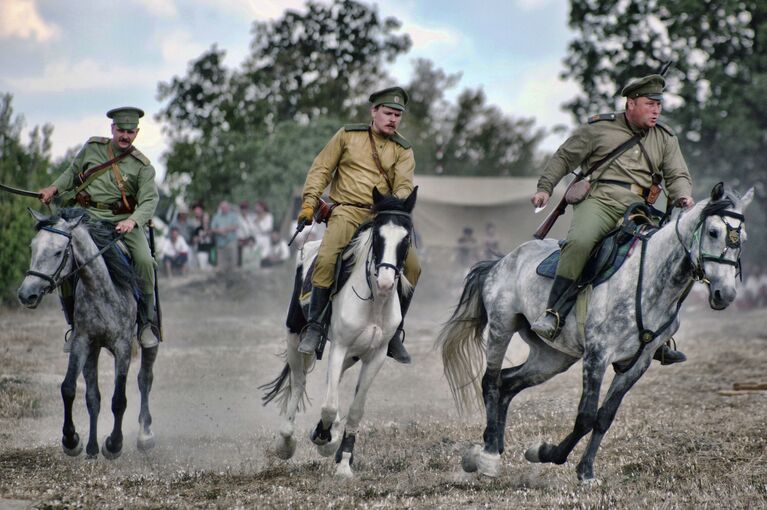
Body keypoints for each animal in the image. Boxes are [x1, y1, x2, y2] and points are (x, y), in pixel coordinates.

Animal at [17, 207, 158, 458]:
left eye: (58, 252)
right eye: (33, 247)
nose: (26, 294)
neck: (100, 289)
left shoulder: (122, 346)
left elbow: (119, 399)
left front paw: (114, 444)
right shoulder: (82, 343)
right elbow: (69, 388)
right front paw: (71, 439)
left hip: (147, 341)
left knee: (145, 379)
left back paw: (145, 434)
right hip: (93, 352)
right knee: (93, 397)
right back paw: (92, 447)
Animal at [264, 187, 420, 478]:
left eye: (405, 238)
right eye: (378, 236)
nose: (385, 282)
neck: (374, 302)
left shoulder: (375, 356)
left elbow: (355, 409)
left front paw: (344, 460)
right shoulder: (339, 346)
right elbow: (328, 405)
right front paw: (323, 438)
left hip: (353, 354)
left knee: (330, 381)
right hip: (295, 336)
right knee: (299, 382)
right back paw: (286, 442)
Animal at [438, 183, 756, 482]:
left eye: (743, 240)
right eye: (713, 231)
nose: (725, 294)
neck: (649, 280)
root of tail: (501, 261)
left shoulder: (636, 364)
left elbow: (604, 417)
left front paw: (585, 470)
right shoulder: (597, 355)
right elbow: (586, 416)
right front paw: (548, 454)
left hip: (552, 357)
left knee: (508, 383)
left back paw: (488, 445)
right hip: (501, 328)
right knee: (491, 382)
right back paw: (489, 456)